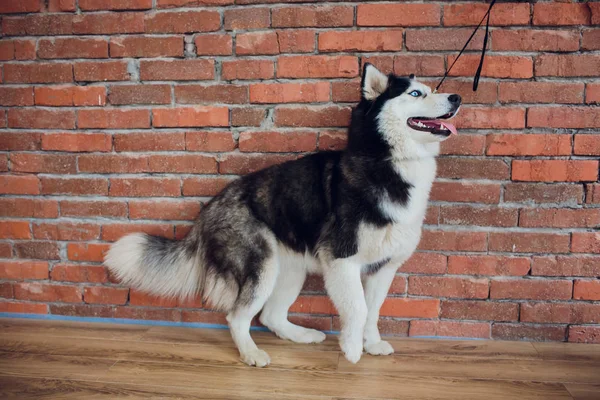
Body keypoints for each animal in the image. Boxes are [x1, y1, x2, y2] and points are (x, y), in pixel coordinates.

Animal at [105, 64, 462, 368]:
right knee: (238, 317)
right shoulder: (342, 259)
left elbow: (373, 310)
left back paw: (301, 335)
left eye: (432, 89)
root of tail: (208, 209)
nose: (457, 97)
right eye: (415, 93)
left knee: (271, 316)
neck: (388, 162)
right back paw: (252, 354)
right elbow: (358, 308)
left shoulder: (383, 267)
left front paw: (371, 344)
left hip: (290, 270)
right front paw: (351, 348)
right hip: (262, 267)